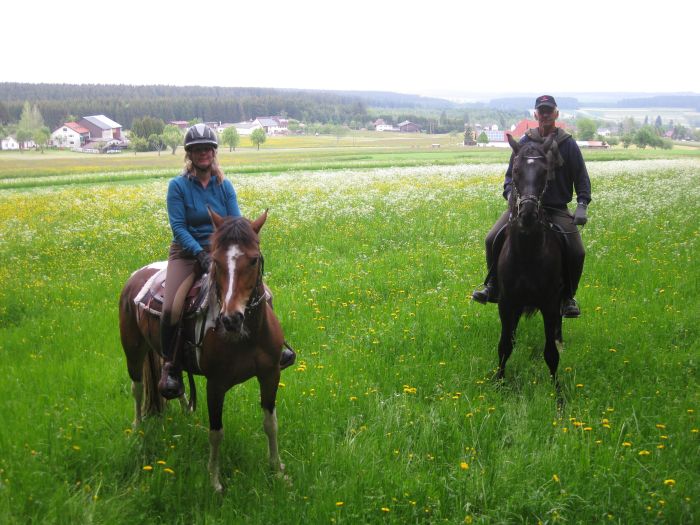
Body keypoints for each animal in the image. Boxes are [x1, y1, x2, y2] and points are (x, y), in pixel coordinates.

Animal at [119, 209, 284, 492]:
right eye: (215, 261)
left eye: (253, 260)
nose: (230, 319)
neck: (247, 337)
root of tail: (136, 277)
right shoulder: (215, 385)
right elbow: (216, 432)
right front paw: (215, 481)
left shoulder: (270, 374)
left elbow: (270, 423)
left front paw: (277, 470)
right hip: (133, 350)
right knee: (137, 388)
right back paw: (138, 428)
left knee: (174, 380)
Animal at [494, 134, 568, 388]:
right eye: (515, 170)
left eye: (545, 171)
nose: (527, 214)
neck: (527, 253)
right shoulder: (506, 302)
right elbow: (505, 346)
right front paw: (498, 382)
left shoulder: (549, 303)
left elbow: (551, 354)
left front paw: (557, 392)